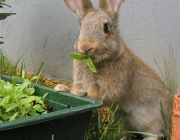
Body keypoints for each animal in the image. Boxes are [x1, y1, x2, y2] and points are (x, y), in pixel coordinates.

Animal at [54, 0, 174, 139]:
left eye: (106, 27)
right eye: (81, 26)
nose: (85, 46)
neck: (97, 62)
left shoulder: (114, 86)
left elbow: (100, 94)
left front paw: (79, 93)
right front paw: (60, 88)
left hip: (153, 121)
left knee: (155, 134)